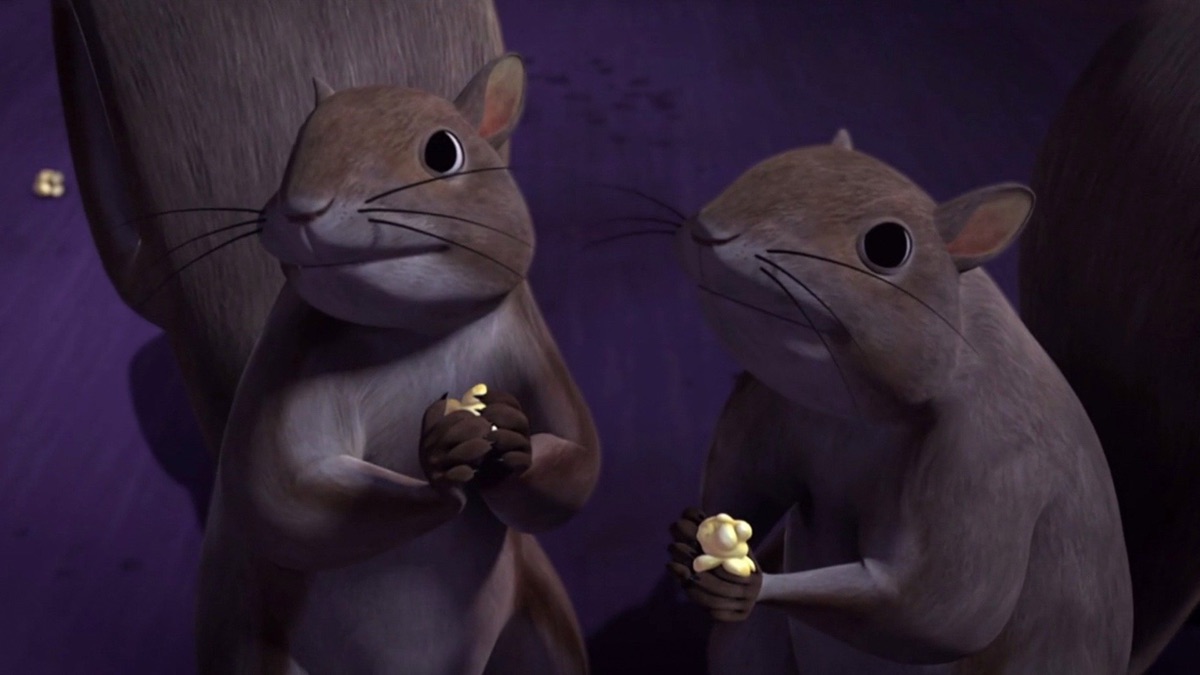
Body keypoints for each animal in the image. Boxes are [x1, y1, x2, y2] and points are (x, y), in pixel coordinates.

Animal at [195, 54, 601, 673]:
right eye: (297, 144)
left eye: (443, 151)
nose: (303, 210)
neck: (415, 330)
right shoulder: (288, 360)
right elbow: (280, 492)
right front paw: (439, 463)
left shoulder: (531, 348)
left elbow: (576, 463)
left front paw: (512, 438)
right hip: (251, 644)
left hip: (540, 621)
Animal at [667, 3, 1200, 673]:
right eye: (769, 165)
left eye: (888, 245)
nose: (708, 232)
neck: (855, 415)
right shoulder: (773, 407)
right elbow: (746, 483)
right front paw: (690, 533)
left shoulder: (991, 465)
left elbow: (936, 610)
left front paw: (748, 584)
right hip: (749, 651)